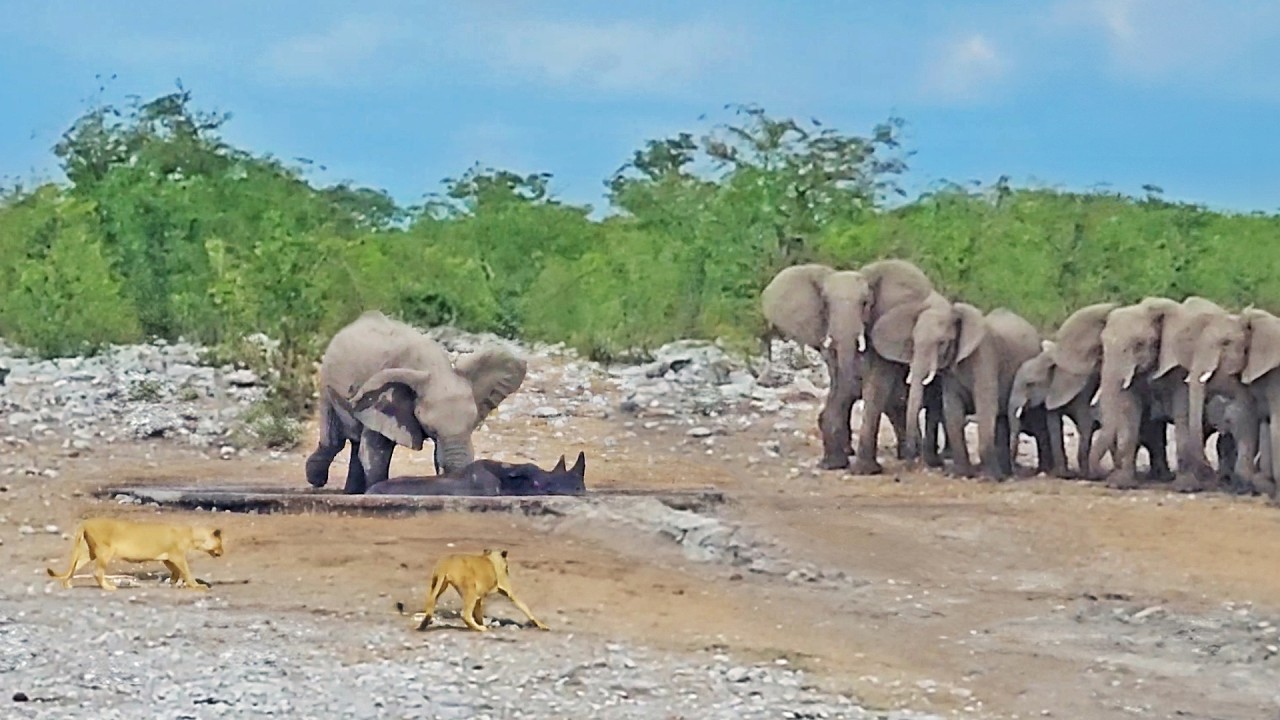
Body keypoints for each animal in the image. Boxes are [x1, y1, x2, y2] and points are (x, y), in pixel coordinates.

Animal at [45, 515, 224, 589]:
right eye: (221, 542)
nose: (222, 552)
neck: (192, 535)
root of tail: (85, 523)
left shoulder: (167, 557)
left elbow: (175, 571)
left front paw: (172, 582)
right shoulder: (177, 555)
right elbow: (185, 571)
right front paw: (196, 585)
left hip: (88, 552)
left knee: (74, 567)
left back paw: (67, 584)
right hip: (104, 551)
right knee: (97, 572)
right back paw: (109, 587)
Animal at [302, 308, 527, 491]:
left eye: (473, 425)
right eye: (431, 429)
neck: (436, 370)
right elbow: (375, 453)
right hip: (326, 380)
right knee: (334, 441)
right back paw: (316, 479)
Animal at [404, 545, 545, 630]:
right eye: (506, 566)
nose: (508, 570)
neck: (491, 558)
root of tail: (446, 564)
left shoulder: (479, 597)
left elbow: (478, 612)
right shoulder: (507, 591)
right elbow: (525, 607)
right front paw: (542, 626)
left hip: (438, 586)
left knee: (430, 606)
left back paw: (423, 625)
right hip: (469, 590)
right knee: (465, 614)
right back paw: (480, 629)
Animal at [757, 254, 942, 468]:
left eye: (865, 303)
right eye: (825, 303)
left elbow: (876, 385)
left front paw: (864, 469)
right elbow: (841, 383)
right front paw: (834, 463)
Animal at [875, 294, 1044, 479]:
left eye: (942, 343)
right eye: (913, 342)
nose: (910, 466)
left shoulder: (986, 357)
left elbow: (985, 406)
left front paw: (991, 478)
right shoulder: (950, 373)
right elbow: (952, 409)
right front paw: (963, 474)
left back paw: (1002, 473)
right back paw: (1004, 471)